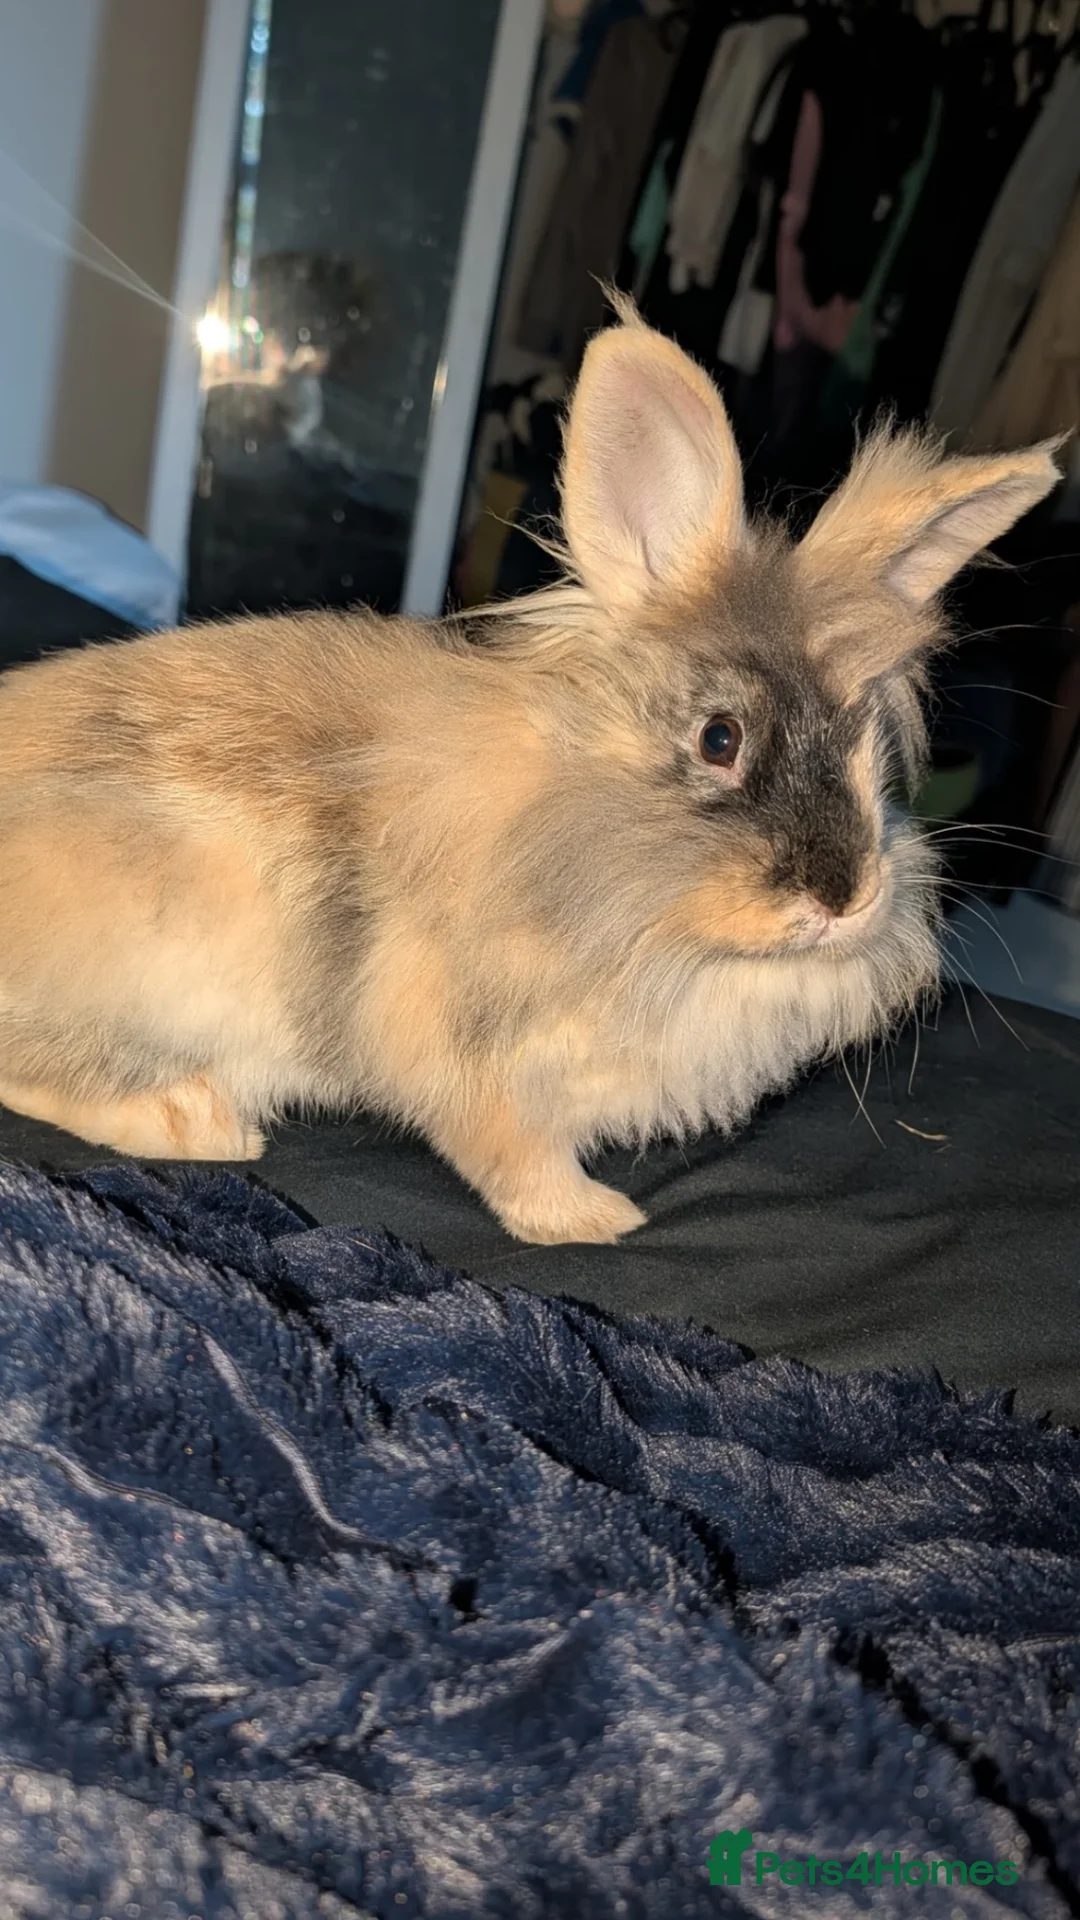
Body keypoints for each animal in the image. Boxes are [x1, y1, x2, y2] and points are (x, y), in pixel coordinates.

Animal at [0, 304, 1059, 1244]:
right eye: (720, 738)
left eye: (875, 751)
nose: (845, 900)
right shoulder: (469, 1060)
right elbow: (511, 1154)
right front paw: (593, 1221)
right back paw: (199, 1123)